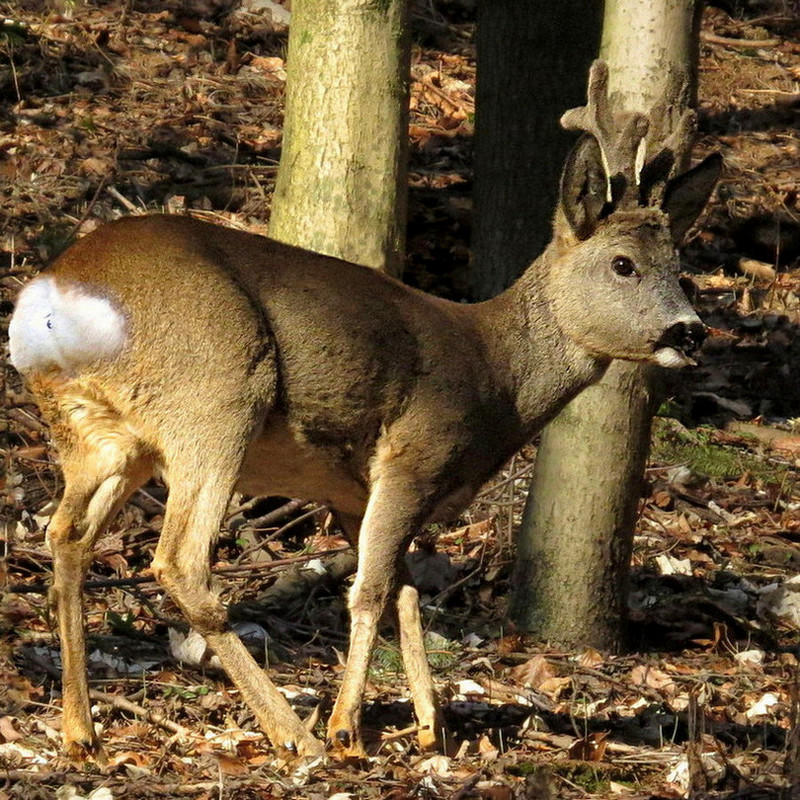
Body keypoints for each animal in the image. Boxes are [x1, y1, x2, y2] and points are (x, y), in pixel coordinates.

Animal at [7, 59, 720, 760]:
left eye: (679, 265)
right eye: (623, 264)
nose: (691, 331)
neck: (498, 382)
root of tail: (58, 291)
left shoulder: (352, 488)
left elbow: (404, 591)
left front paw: (432, 727)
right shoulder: (412, 455)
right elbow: (371, 590)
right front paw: (348, 728)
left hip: (102, 434)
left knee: (66, 536)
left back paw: (80, 733)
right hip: (216, 395)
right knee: (180, 560)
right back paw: (295, 736)